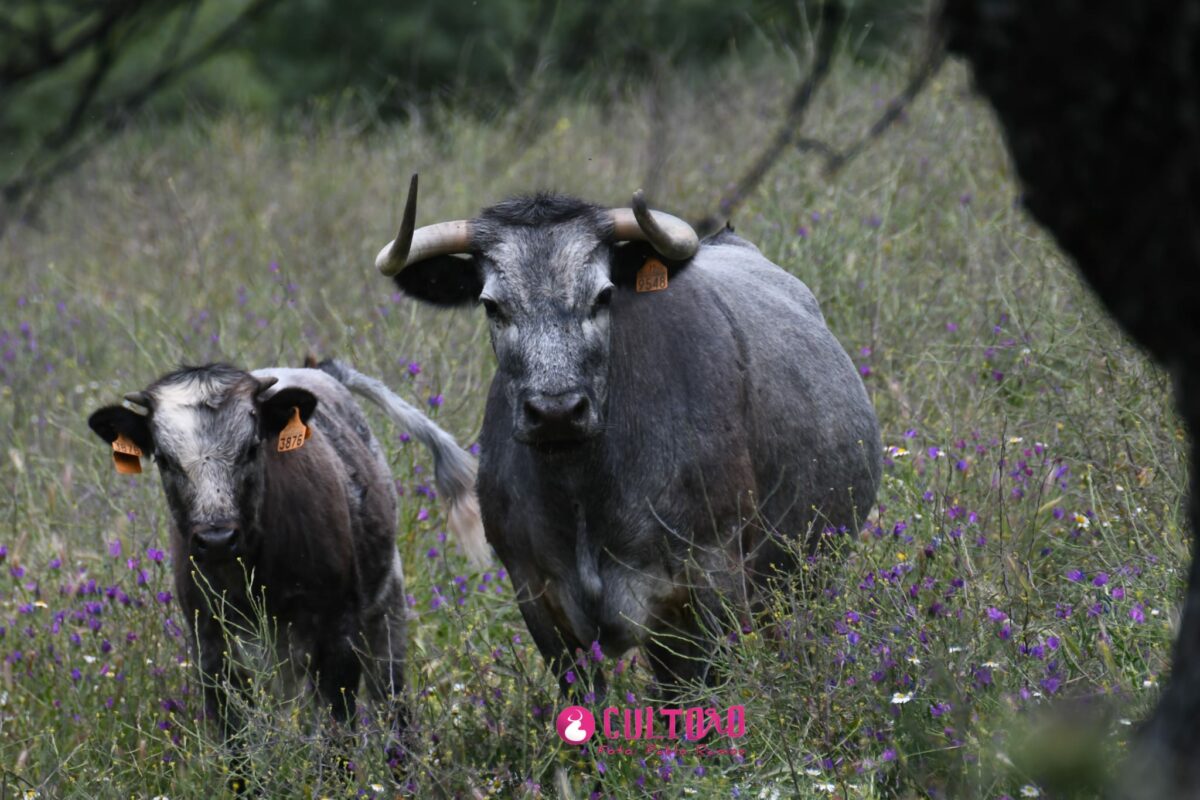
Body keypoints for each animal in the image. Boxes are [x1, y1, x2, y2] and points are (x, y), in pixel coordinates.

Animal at [374, 176, 883, 695]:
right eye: (491, 305)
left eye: (602, 296)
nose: (556, 412)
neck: (582, 492)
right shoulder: (538, 600)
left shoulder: (713, 582)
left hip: (801, 584)